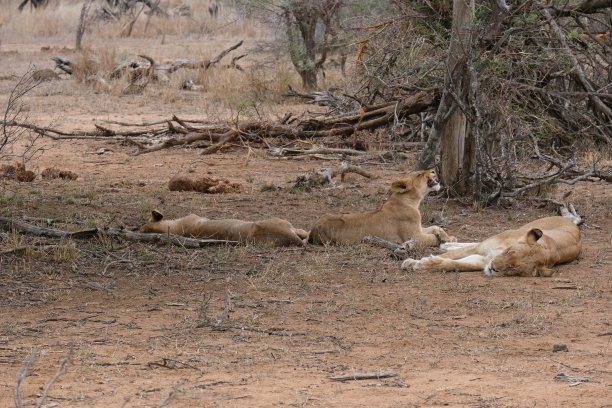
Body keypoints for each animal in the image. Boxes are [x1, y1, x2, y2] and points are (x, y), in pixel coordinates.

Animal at [308, 169, 452, 245]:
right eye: (419, 174)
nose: (433, 170)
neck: (411, 201)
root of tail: (314, 228)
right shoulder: (414, 237)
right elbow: (432, 238)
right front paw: (447, 240)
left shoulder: (419, 229)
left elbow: (436, 227)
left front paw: (448, 237)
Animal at [402, 210, 584, 278]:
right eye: (509, 251)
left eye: (513, 268)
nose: (493, 268)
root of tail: (572, 223)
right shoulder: (483, 250)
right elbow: (451, 256)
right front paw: (412, 262)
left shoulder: (482, 259)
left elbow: (454, 264)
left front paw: (421, 264)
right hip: (522, 227)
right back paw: (446, 243)